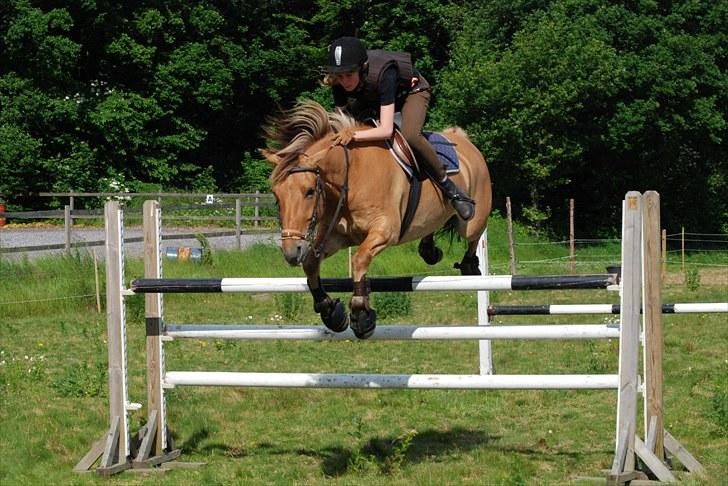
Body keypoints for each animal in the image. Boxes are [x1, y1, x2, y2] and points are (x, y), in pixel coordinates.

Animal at [258, 99, 492, 338]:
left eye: (310, 191)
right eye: (276, 195)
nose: (291, 253)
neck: (352, 176)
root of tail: (463, 139)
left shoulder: (385, 230)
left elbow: (359, 259)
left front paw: (361, 315)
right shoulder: (337, 237)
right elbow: (311, 263)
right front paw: (331, 311)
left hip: (471, 220)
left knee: (475, 233)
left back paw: (470, 264)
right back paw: (429, 250)